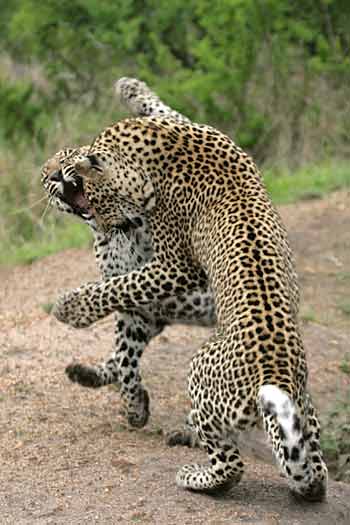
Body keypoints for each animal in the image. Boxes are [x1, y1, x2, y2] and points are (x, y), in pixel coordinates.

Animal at [42, 78, 326, 500]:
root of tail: (274, 375)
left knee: (230, 463)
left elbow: (119, 290)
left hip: (200, 373)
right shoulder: (198, 130)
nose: (49, 175)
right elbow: (123, 349)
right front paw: (131, 87)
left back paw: (193, 470)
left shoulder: (174, 270)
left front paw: (70, 307)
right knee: (310, 468)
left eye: (65, 158)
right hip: (302, 412)